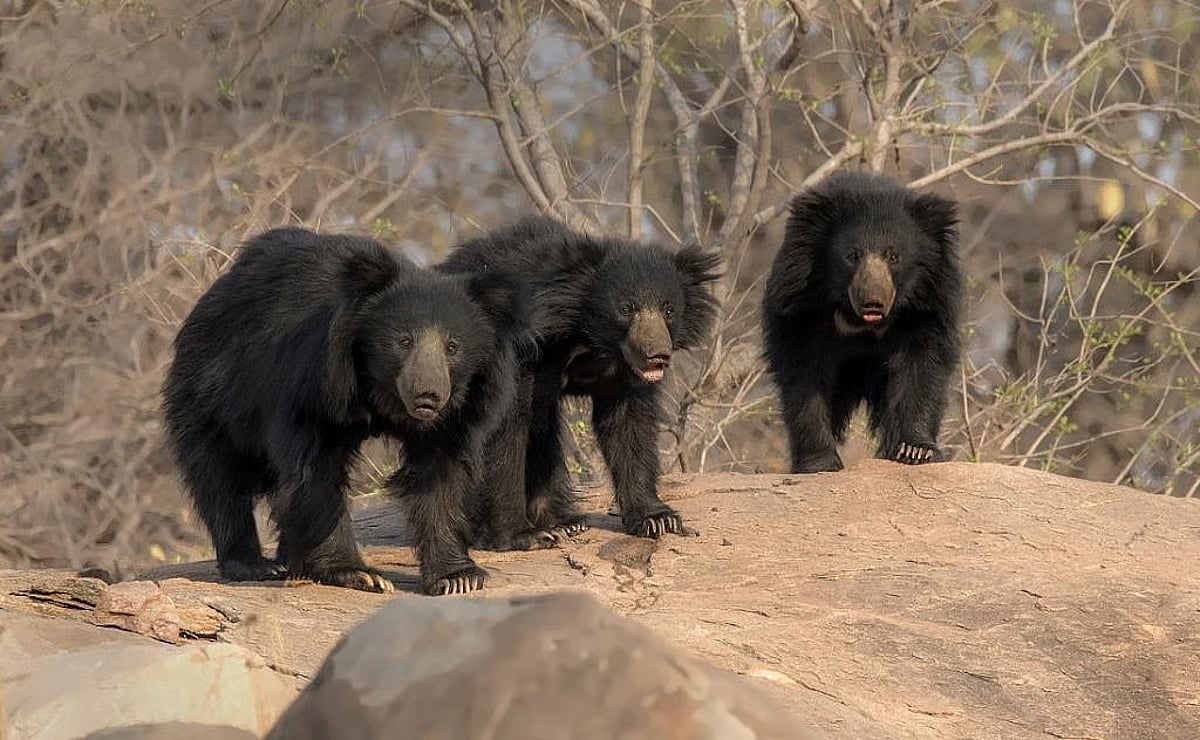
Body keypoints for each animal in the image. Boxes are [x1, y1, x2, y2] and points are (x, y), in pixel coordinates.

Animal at [162, 227, 528, 595]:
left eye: (453, 347)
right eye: (403, 341)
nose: (428, 396)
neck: (379, 392)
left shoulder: (458, 413)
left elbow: (438, 477)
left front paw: (458, 577)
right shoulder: (314, 384)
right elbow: (317, 472)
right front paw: (360, 574)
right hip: (213, 391)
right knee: (220, 478)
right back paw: (254, 564)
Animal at [437, 216, 722, 550]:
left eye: (669, 310)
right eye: (626, 309)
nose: (657, 355)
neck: (589, 339)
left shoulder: (624, 374)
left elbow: (629, 427)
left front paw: (657, 518)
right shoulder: (523, 355)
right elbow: (506, 431)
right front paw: (522, 535)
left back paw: (565, 522)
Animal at [761, 171, 963, 473]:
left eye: (894, 256)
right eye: (852, 256)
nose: (873, 303)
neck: (859, 321)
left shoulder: (927, 310)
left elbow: (921, 369)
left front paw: (915, 450)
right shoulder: (800, 310)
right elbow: (805, 376)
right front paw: (819, 462)